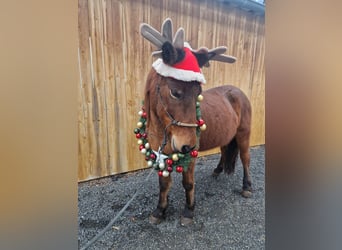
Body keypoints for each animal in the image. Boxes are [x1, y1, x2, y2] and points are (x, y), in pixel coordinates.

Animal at [140, 18, 252, 226]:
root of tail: (237, 91)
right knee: (225, 151)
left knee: (245, 158)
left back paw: (247, 187)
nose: (187, 145)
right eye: (175, 92)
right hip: (226, 135)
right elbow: (163, 184)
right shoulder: (161, 155)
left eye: (199, 92)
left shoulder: (190, 156)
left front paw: (188, 211)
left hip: (243, 134)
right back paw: (217, 170)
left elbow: (188, 183)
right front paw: (160, 211)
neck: (164, 131)